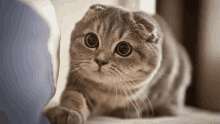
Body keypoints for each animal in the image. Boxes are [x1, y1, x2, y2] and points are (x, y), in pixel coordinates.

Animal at [42, 3, 191, 124]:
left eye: (123, 49)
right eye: (91, 40)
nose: (100, 60)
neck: (106, 91)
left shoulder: (158, 83)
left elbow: (139, 102)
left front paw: (126, 112)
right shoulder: (76, 84)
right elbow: (74, 97)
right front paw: (67, 112)